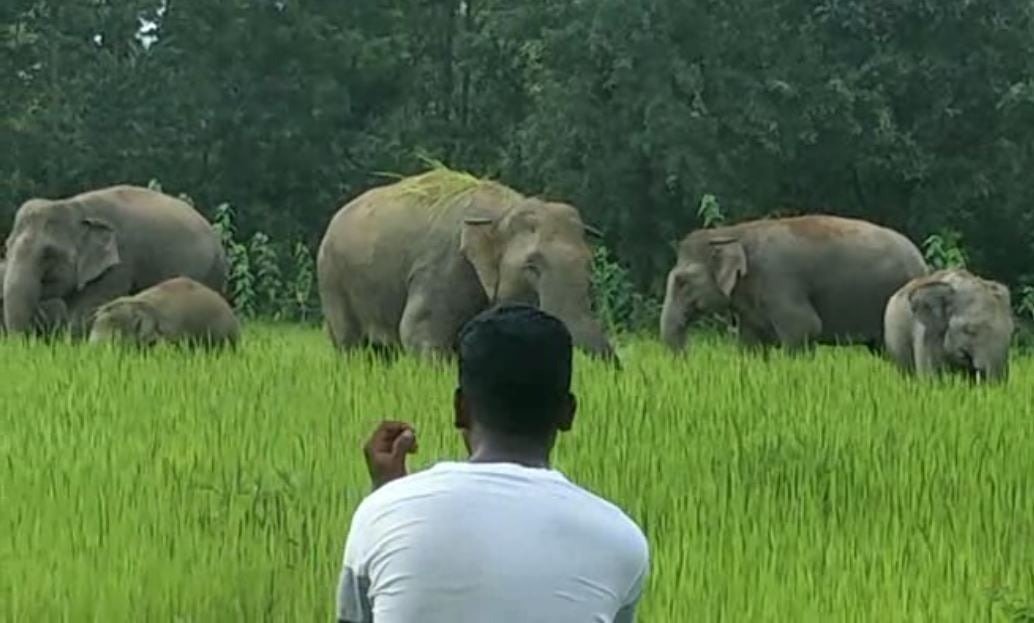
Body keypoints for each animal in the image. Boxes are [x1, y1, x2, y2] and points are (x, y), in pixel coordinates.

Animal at [3, 185, 228, 339]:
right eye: (7, 247)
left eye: (49, 253)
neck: (75, 206)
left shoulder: (118, 266)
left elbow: (85, 314)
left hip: (212, 271)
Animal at [316, 168, 615, 360]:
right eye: (532, 266)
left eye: (589, 266)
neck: (502, 213)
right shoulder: (441, 268)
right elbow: (417, 330)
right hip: (333, 280)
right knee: (351, 346)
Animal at [661, 215, 929, 352]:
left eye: (682, 282)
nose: (688, 359)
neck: (733, 233)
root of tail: (922, 263)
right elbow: (750, 341)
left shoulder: (778, 280)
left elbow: (805, 327)